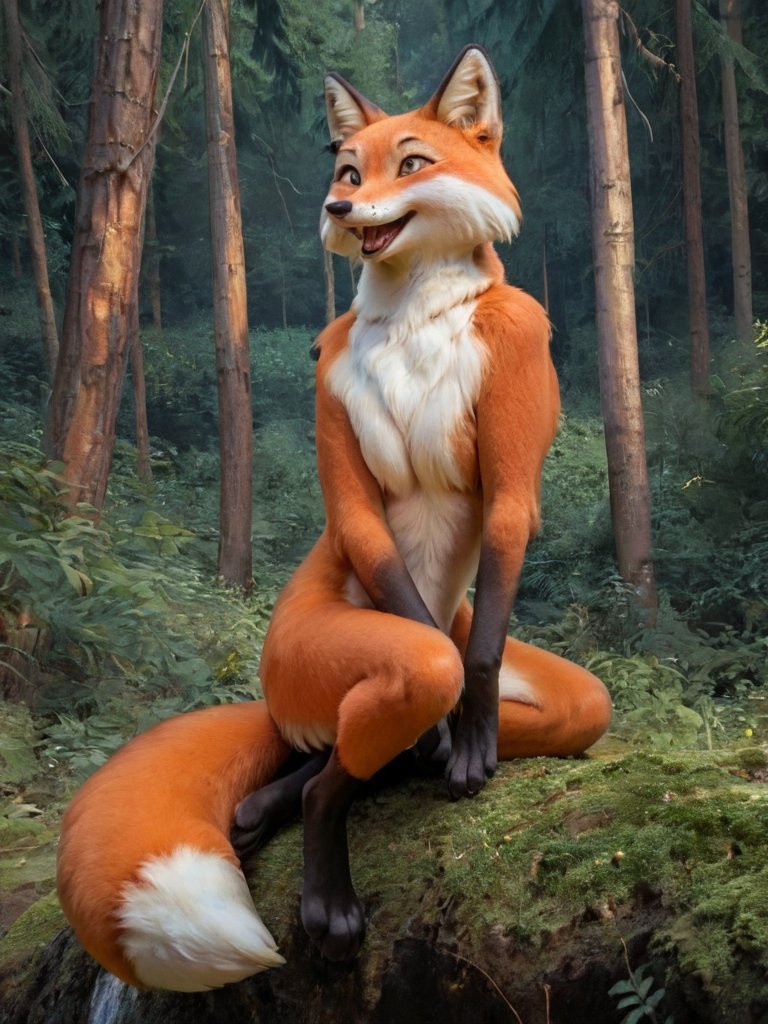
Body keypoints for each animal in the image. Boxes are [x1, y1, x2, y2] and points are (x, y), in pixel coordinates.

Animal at [56, 45, 612, 992]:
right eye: (348, 170)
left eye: (412, 162)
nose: (339, 209)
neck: (415, 320)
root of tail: (276, 701)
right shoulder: (329, 371)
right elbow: (365, 528)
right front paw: (443, 742)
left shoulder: (518, 368)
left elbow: (486, 637)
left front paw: (465, 742)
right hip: (337, 657)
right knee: (373, 727)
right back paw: (322, 884)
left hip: (552, 685)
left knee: (382, 735)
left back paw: (277, 799)